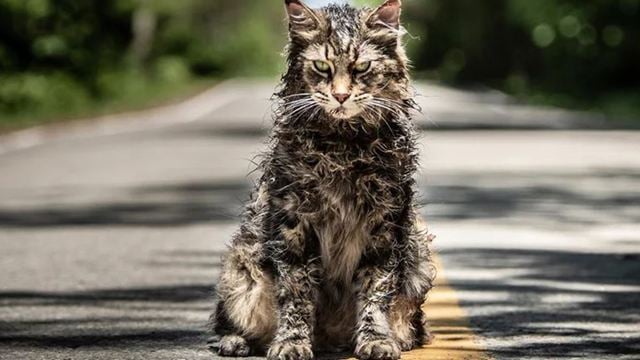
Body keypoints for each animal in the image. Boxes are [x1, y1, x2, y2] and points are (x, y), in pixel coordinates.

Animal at [210, 1, 436, 358]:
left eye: (361, 68)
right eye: (321, 66)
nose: (341, 96)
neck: (342, 147)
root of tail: (331, 340)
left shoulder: (384, 225)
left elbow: (375, 290)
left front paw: (375, 340)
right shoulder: (294, 225)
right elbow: (296, 294)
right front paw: (291, 343)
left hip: (419, 259)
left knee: (412, 325)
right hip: (240, 270)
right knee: (228, 321)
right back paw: (235, 342)